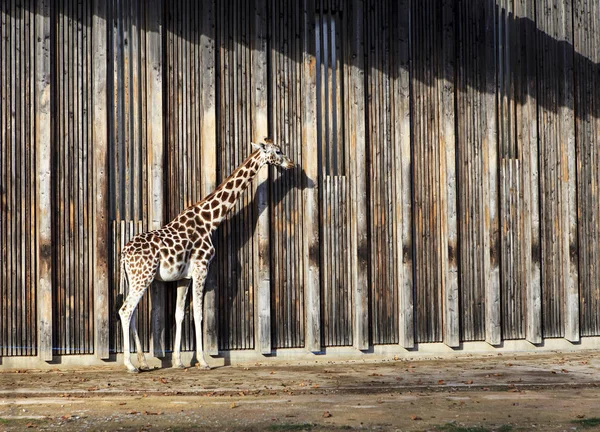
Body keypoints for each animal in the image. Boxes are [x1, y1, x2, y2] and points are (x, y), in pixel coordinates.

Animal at [118, 141, 296, 372]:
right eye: (278, 151)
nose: (291, 164)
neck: (210, 220)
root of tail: (123, 253)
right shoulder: (202, 269)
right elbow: (198, 314)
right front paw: (203, 361)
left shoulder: (184, 277)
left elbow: (179, 314)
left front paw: (178, 362)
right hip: (143, 277)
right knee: (125, 310)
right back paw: (130, 365)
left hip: (133, 279)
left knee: (131, 313)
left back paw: (143, 362)